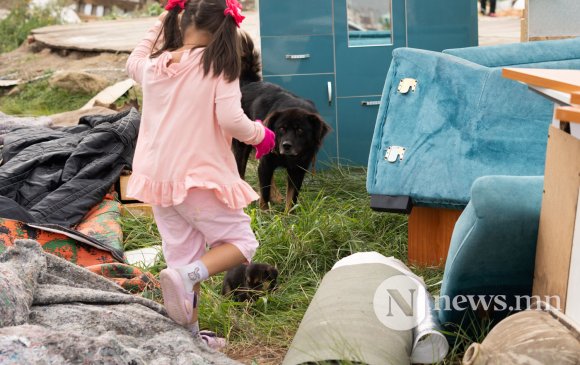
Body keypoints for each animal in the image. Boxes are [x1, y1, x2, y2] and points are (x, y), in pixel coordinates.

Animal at [232, 35, 330, 210]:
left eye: (300, 130)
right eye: (281, 129)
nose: (286, 145)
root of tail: (249, 83)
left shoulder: (298, 169)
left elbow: (292, 198)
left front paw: (288, 214)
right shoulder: (267, 163)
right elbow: (264, 194)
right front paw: (265, 212)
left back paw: (276, 196)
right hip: (242, 146)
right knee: (240, 172)